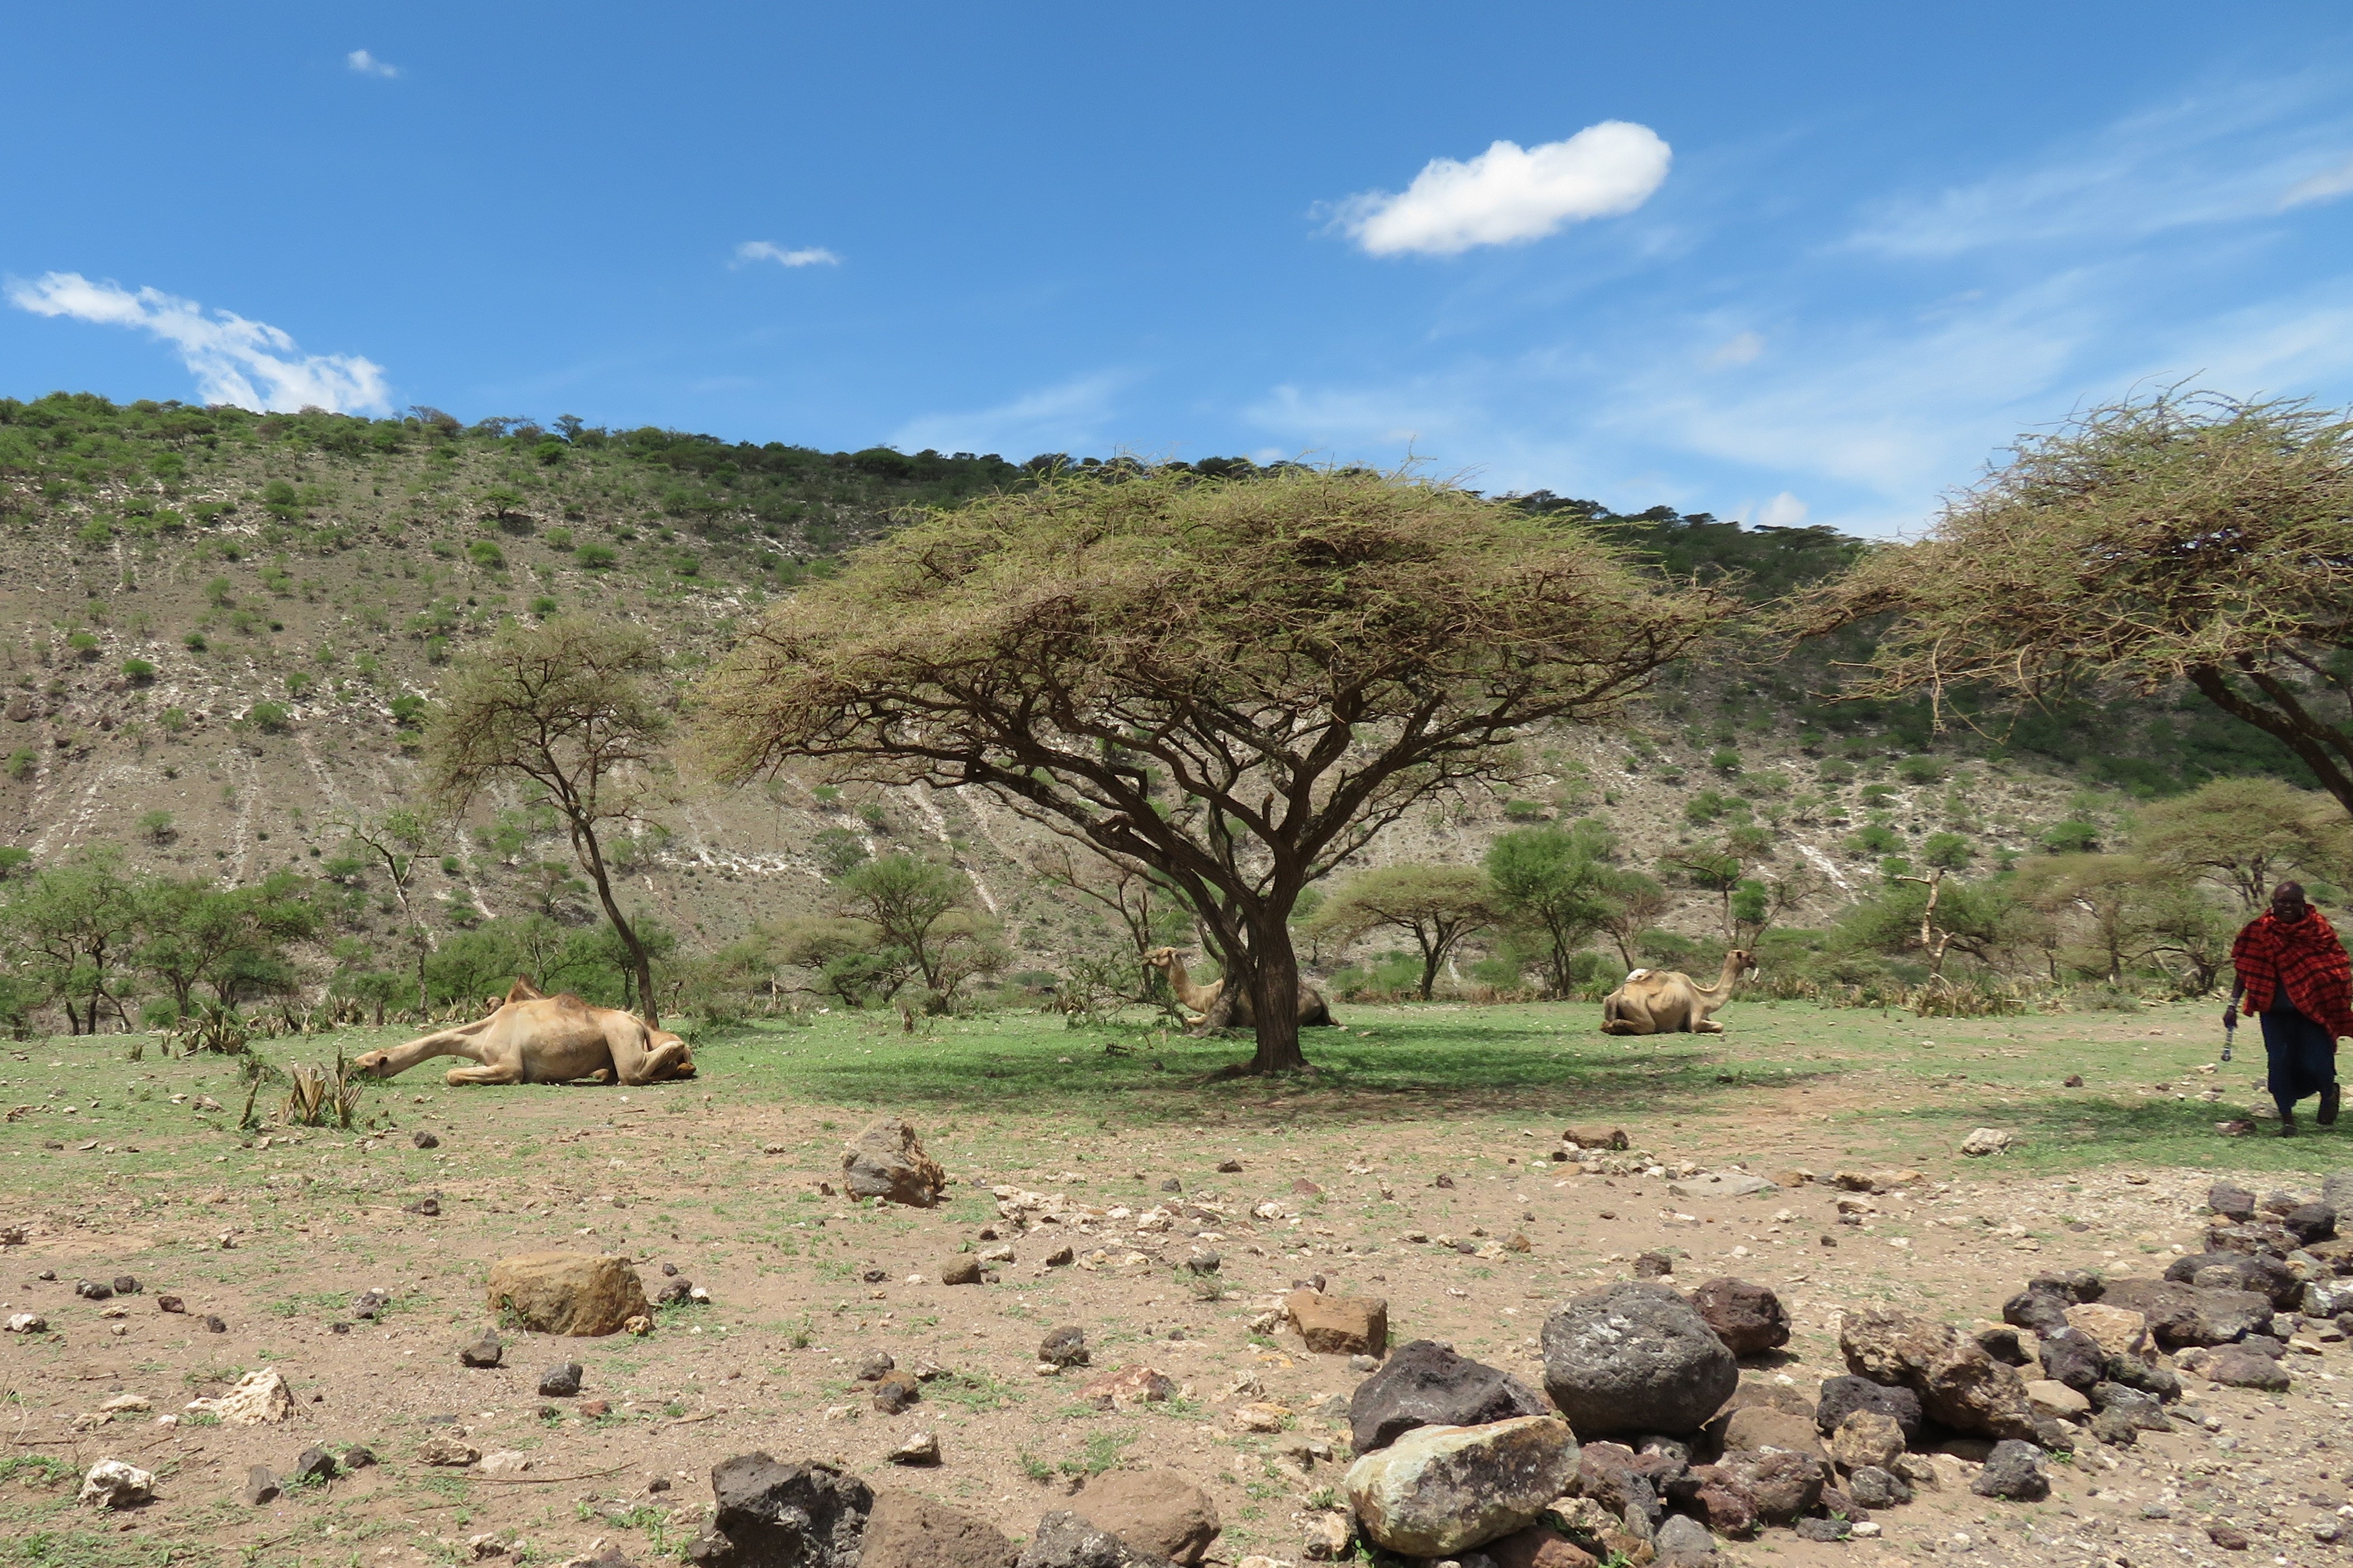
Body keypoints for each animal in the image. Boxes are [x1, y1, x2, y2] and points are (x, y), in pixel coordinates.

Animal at [348, 979, 696, 1088]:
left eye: (367, 1065)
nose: (351, 1073)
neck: (482, 1036)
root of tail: (637, 1022)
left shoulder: (510, 1066)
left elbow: (453, 1074)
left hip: (621, 1033)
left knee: (633, 1071)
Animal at [1144, 946, 1336, 1031]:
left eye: (1160, 954)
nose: (1146, 955)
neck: (1203, 994)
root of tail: (1320, 1000)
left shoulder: (1215, 1013)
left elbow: (1193, 1020)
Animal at [1590, 946, 1760, 1031]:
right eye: (1747, 956)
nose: (1756, 959)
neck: (1704, 997)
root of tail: (1614, 998)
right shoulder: (1695, 1017)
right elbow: (1718, 1026)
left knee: (1606, 1024)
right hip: (1640, 1012)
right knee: (1643, 1026)